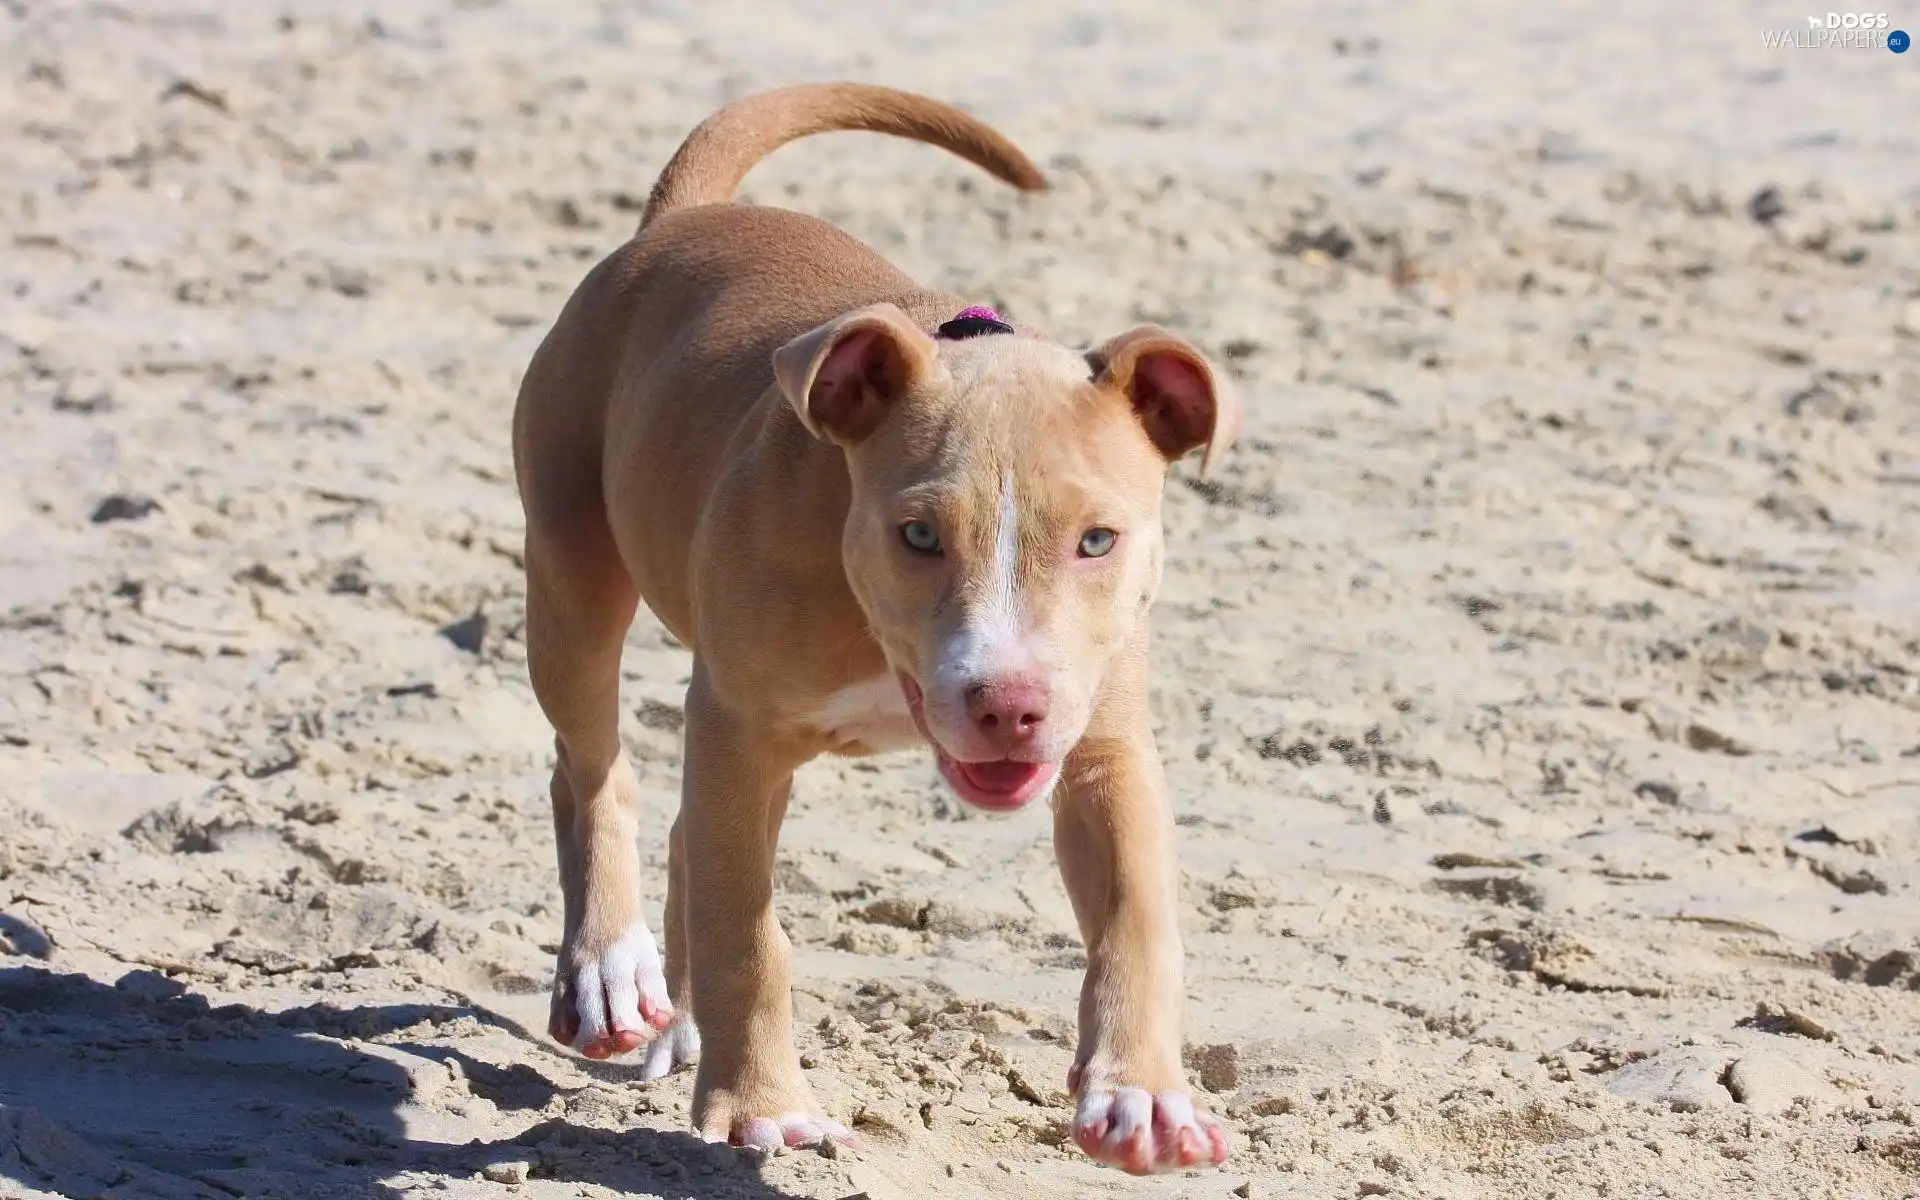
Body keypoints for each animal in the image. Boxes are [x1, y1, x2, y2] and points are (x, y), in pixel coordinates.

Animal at [510, 82, 1236, 1167]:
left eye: (1099, 540)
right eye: (920, 534)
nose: (1010, 705)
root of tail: (680, 221)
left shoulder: (1104, 747)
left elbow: (1137, 924)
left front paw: (1144, 1096)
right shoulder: (740, 730)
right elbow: (747, 936)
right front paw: (763, 1104)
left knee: (680, 825)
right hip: (572, 574)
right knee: (592, 767)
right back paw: (610, 969)